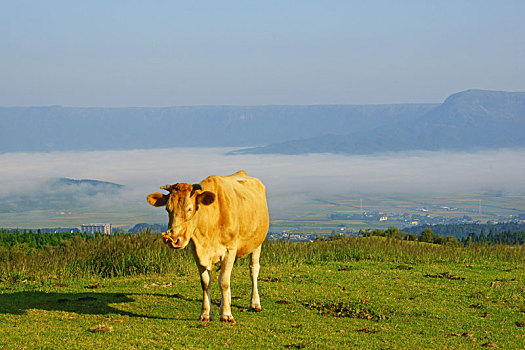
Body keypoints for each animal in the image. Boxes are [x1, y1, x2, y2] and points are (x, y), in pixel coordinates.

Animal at [147, 170, 270, 322]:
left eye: (190, 209)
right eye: (167, 209)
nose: (174, 240)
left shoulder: (230, 249)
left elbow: (224, 282)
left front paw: (227, 314)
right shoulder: (196, 251)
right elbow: (206, 282)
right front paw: (206, 313)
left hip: (257, 242)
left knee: (253, 269)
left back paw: (255, 303)